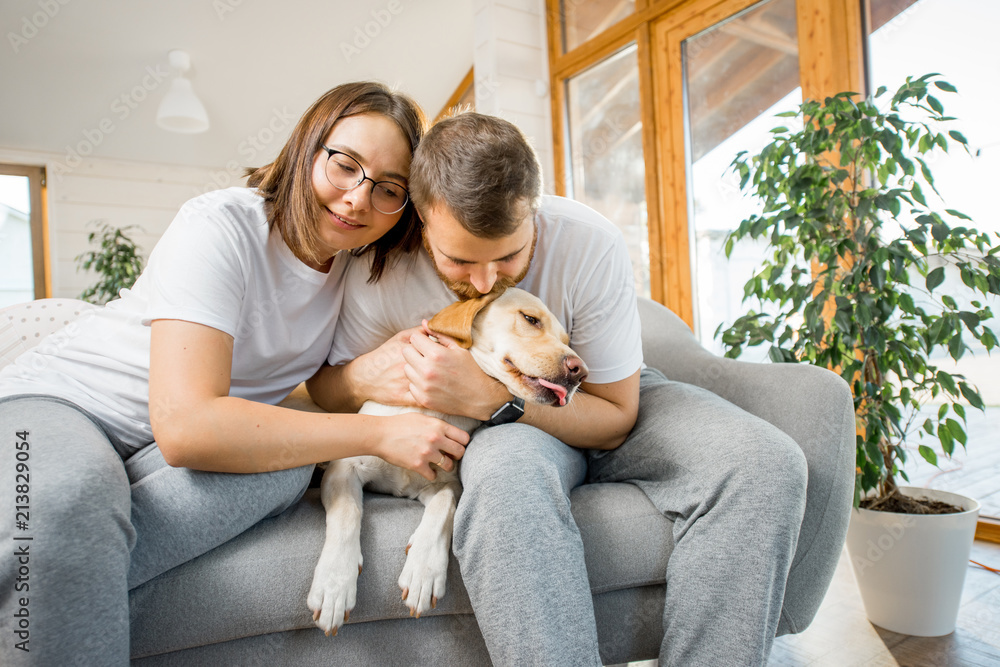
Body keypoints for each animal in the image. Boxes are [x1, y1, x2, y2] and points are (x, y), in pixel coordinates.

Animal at [304, 288, 584, 636]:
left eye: (567, 340)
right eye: (531, 319)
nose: (580, 371)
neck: (432, 410)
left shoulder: (446, 485)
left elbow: (442, 510)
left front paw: (423, 570)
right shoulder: (345, 469)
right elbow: (347, 513)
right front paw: (334, 584)